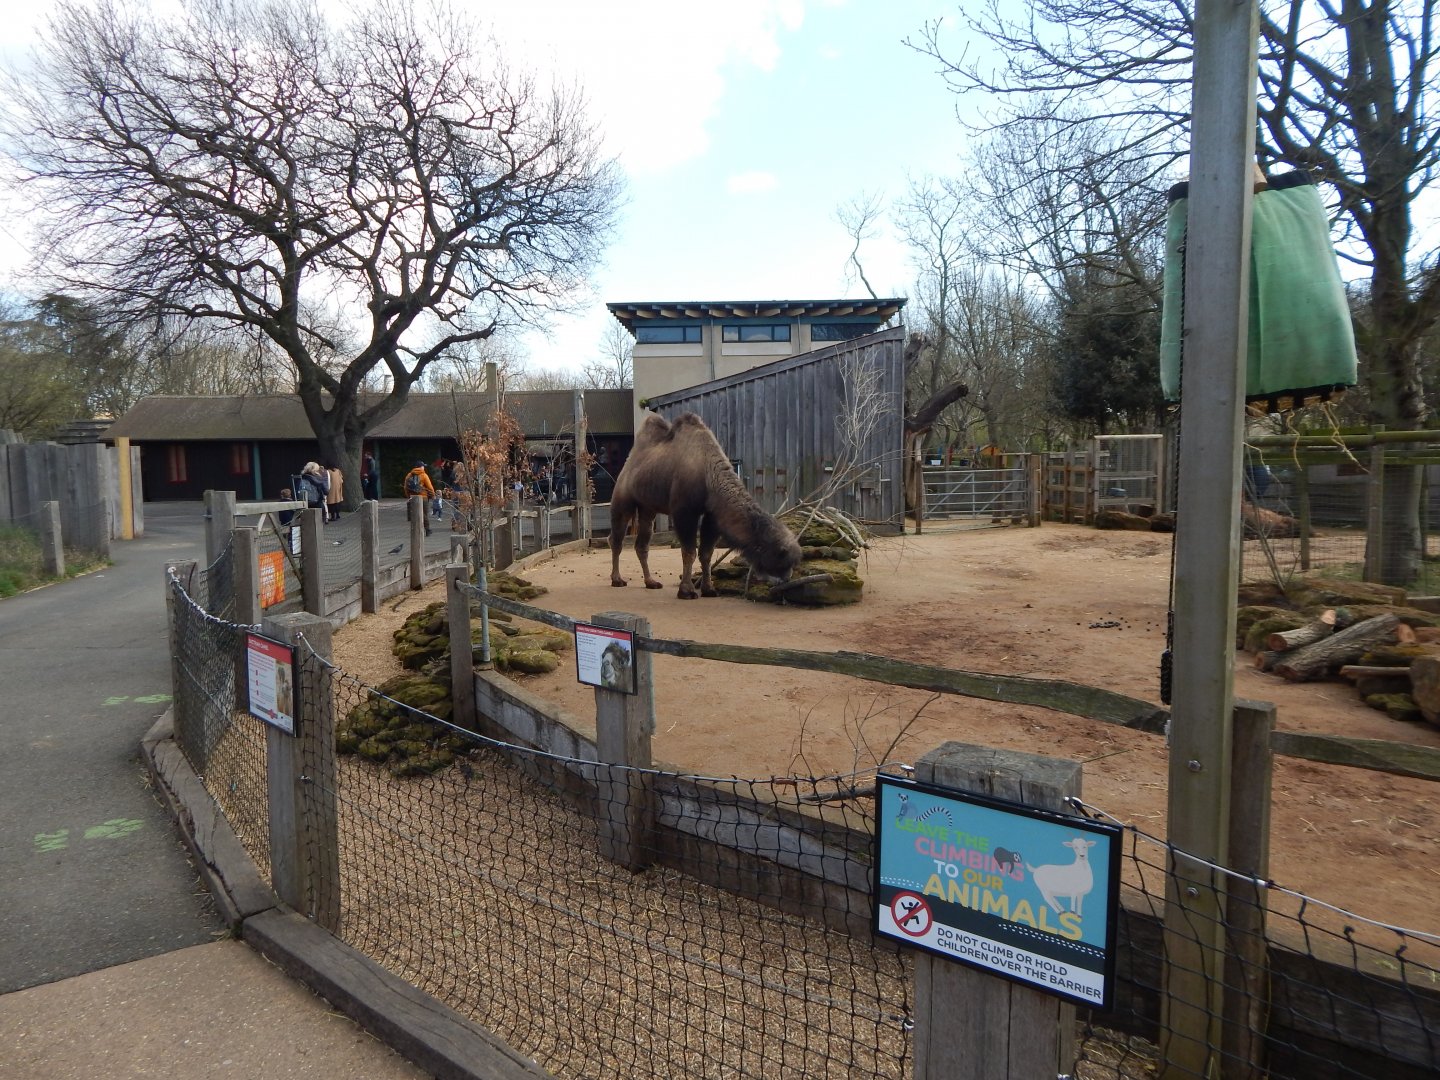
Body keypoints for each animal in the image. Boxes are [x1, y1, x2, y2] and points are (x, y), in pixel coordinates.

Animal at [610, 412, 803, 600]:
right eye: (780, 556)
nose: (787, 578)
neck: (708, 475)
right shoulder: (684, 512)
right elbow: (689, 552)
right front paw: (686, 591)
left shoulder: (712, 516)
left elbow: (706, 553)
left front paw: (709, 589)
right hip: (623, 500)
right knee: (616, 538)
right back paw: (617, 579)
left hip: (647, 508)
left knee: (642, 544)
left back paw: (651, 582)